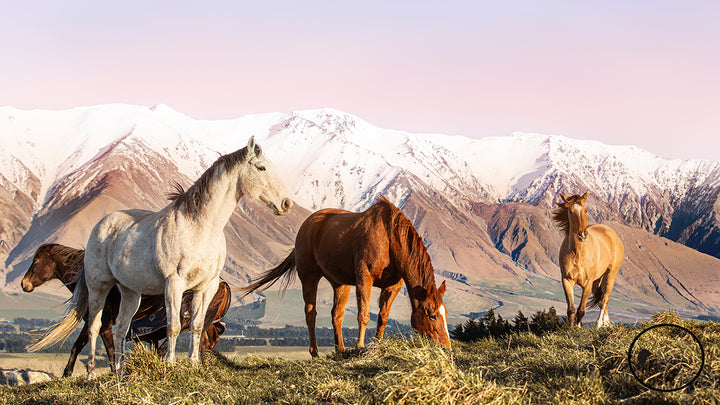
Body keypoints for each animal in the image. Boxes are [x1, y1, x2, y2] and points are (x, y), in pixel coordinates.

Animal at [21, 241, 231, 378]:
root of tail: (222, 284)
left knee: (178, 343)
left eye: (35, 261)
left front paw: (115, 373)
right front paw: (67, 373)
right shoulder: (92, 320)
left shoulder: (105, 322)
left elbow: (110, 350)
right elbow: (78, 345)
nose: (24, 284)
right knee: (204, 342)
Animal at [242, 196, 450, 356]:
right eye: (432, 315)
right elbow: (364, 315)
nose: (446, 347)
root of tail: (307, 225)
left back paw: (340, 349)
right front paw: (360, 346)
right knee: (310, 314)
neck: (389, 237)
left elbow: (383, 317)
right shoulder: (364, 278)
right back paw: (315, 353)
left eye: (445, 314)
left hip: (340, 283)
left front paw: (377, 344)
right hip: (309, 277)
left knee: (337, 315)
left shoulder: (393, 286)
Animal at [552, 191, 624, 326]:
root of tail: (612, 234)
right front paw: (571, 329)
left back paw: (599, 324)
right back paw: (606, 324)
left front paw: (578, 328)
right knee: (602, 301)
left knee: (604, 299)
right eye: (570, 211)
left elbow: (581, 310)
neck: (577, 254)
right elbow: (571, 310)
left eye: (586, 210)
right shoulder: (567, 280)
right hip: (597, 281)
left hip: (610, 275)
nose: (582, 235)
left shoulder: (588, 283)